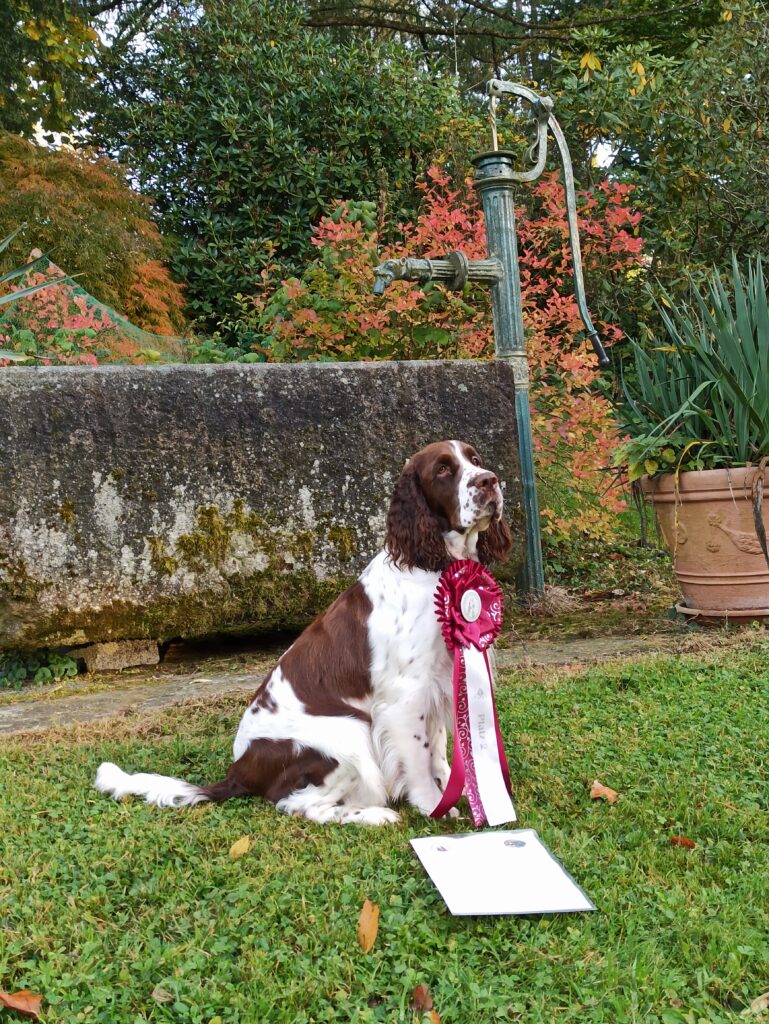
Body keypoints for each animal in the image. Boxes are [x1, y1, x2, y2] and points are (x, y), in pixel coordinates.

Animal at [94, 440, 511, 823]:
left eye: (474, 459)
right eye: (442, 470)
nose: (489, 480)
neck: (435, 564)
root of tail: (239, 770)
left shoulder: (441, 679)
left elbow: (437, 750)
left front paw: (458, 790)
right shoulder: (405, 696)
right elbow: (418, 759)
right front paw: (433, 806)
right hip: (347, 734)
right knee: (298, 804)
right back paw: (375, 815)